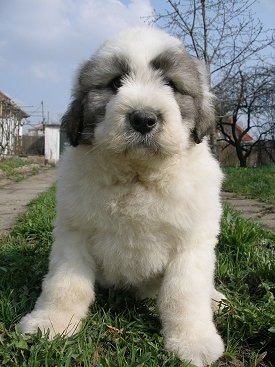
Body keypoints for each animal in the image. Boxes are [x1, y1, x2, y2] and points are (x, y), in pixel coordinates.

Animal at [19, 26, 226, 367]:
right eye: (115, 83)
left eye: (171, 85)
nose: (143, 118)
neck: (136, 176)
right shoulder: (74, 233)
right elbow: (65, 284)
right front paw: (50, 323)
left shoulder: (191, 242)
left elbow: (184, 294)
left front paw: (194, 341)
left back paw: (215, 300)